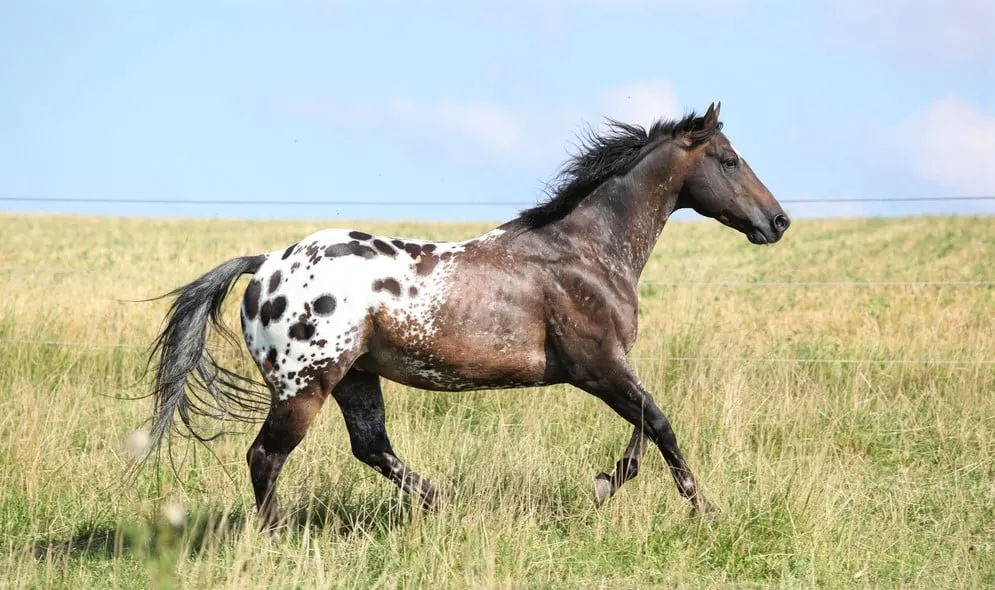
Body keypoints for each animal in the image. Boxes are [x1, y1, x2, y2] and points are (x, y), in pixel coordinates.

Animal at [140, 104, 792, 536]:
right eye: (729, 161)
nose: (778, 221)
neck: (586, 250)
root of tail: (266, 264)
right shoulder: (597, 365)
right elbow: (660, 423)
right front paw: (701, 510)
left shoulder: (611, 366)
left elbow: (644, 426)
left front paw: (609, 482)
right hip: (306, 385)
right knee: (265, 457)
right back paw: (278, 537)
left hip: (356, 376)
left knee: (371, 447)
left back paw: (441, 505)